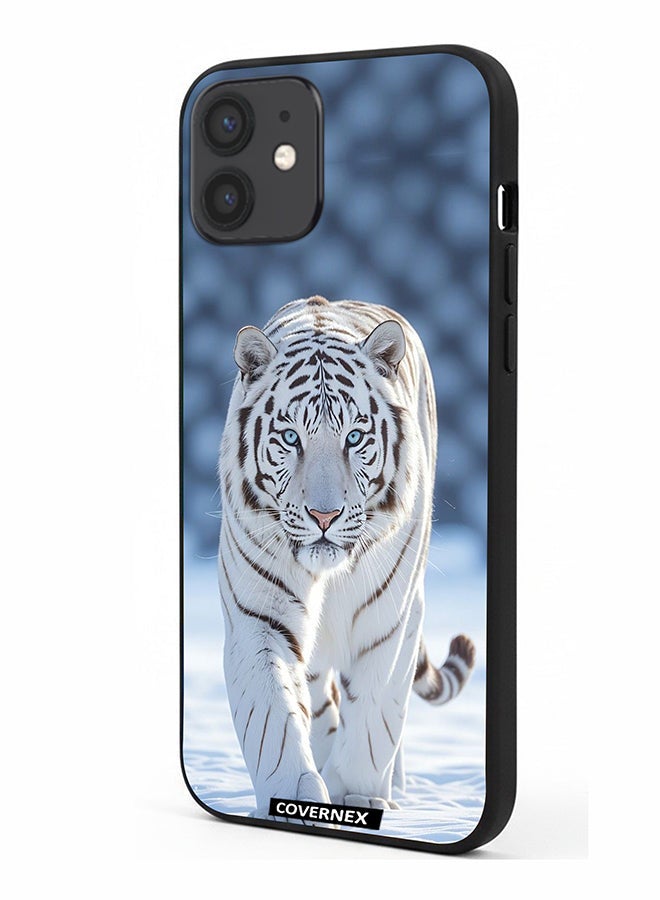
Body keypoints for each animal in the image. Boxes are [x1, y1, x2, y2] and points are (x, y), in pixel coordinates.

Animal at [218, 296, 475, 818]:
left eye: (354, 438)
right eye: (291, 438)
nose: (324, 515)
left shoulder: (390, 620)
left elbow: (375, 715)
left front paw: (357, 795)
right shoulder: (258, 618)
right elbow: (273, 720)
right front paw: (296, 794)